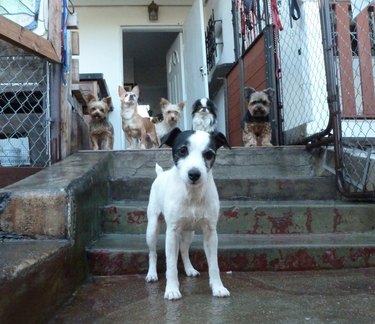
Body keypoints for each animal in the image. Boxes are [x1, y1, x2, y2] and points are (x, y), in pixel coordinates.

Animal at [145, 128, 231, 300]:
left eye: (209, 154)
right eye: (182, 150)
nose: (194, 174)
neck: (192, 194)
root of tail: (160, 174)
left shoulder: (210, 233)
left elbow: (214, 265)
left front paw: (218, 287)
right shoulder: (172, 233)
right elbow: (171, 266)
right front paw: (172, 289)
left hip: (189, 232)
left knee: (184, 250)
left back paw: (189, 269)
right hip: (152, 228)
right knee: (153, 253)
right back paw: (151, 274)